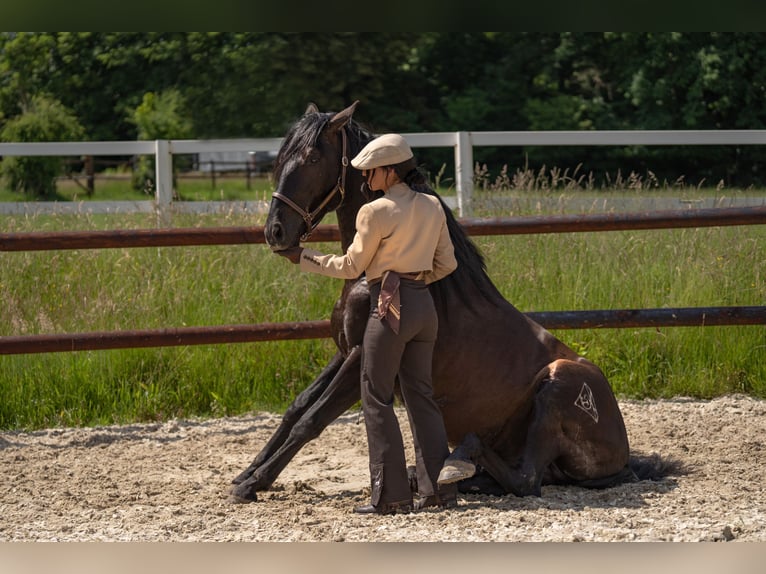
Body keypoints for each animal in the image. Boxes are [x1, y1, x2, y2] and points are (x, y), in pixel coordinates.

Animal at [231, 102, 676, 504]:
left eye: (311, 157)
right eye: (281, 158)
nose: (275, 232)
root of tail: (624, 457)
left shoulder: (363, 358)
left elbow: (311, 420)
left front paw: (252, 485)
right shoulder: (346, 350)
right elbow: (297, 407)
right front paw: (245, 473)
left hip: (558, 386)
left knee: (525, 480)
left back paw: (455, 463)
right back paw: (443, 475)